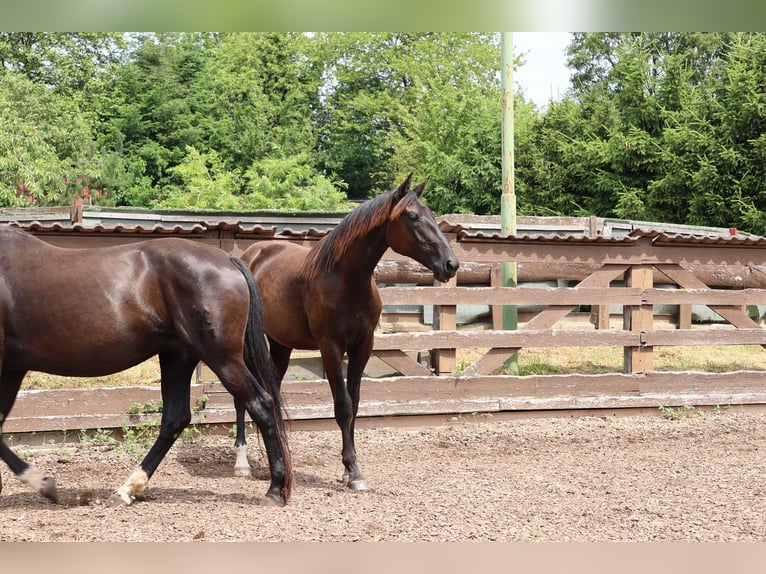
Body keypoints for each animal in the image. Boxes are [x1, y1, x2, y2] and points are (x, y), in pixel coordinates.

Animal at [0, 228, 294, 508]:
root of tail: (229, 260)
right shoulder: (13, 369)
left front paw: (44, 485)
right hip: (178, 356)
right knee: (176, 417)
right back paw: (127, 489)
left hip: (221, 358)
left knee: (261, 404)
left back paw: (274, 491)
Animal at [234, 174, 460, 490]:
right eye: (413, 217)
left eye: (432, 215)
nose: (451, 264)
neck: (345, 280)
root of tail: (250, 255)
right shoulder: (330, 348)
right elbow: (342, 406)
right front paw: (353, 471)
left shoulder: (362, 346)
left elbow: (355, 403)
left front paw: (348, 468)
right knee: (242, 396)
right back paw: (241, 462)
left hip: (281, 344)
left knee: (273, 390)